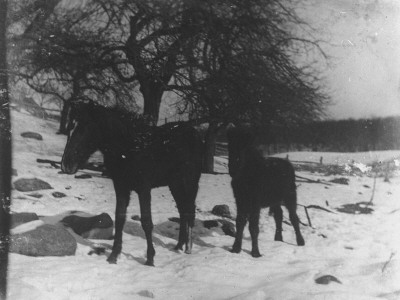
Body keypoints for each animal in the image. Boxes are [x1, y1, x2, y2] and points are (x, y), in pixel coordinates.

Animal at [61, 102, 203, 264]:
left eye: (85, 128)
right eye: (70, 127)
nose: (66, 164)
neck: (128, 147)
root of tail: (194, 133)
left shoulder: (144, 189)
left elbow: (146, 222)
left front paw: (150, 259)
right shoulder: (121, 187)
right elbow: (119, 218)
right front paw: (113, 256)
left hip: (190, 181)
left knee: (189, 209)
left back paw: (188, 248)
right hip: (175, 183)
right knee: (182, 210)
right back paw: (179, 245)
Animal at [227, 124, 304, 258]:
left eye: (244, 147)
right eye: (229, 146)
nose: (232, 169)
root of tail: (288, 164)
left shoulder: (255, 203)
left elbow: (253, 227)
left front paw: (255, 253)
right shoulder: (240, 200)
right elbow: (239, 223)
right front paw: (236, 248)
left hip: (290, 196)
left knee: (293, 217)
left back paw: (300, 241)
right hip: (275, 199)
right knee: (279, 215)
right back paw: (278, 238)